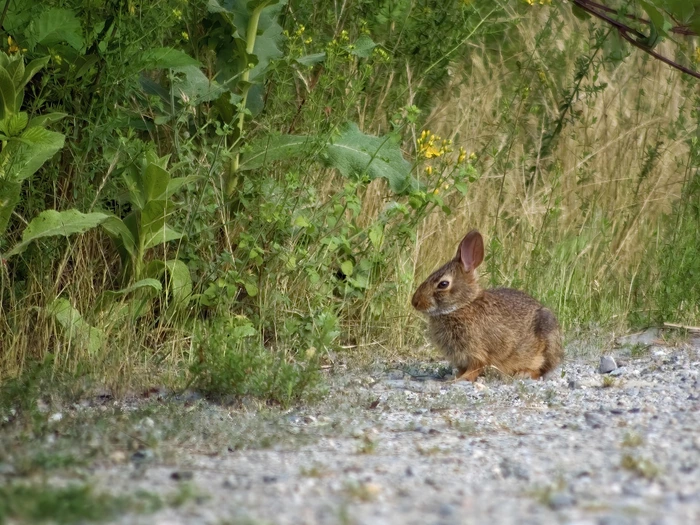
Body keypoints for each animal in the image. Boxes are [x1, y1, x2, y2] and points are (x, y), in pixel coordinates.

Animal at [411, 229, 563, 381]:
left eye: (443, 284)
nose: (415, 302)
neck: (463, 305)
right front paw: (453, 378)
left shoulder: (477, 352)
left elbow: (474, 368)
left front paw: (460, 379)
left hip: (547, 338)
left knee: (542, 370)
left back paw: (523, 373)